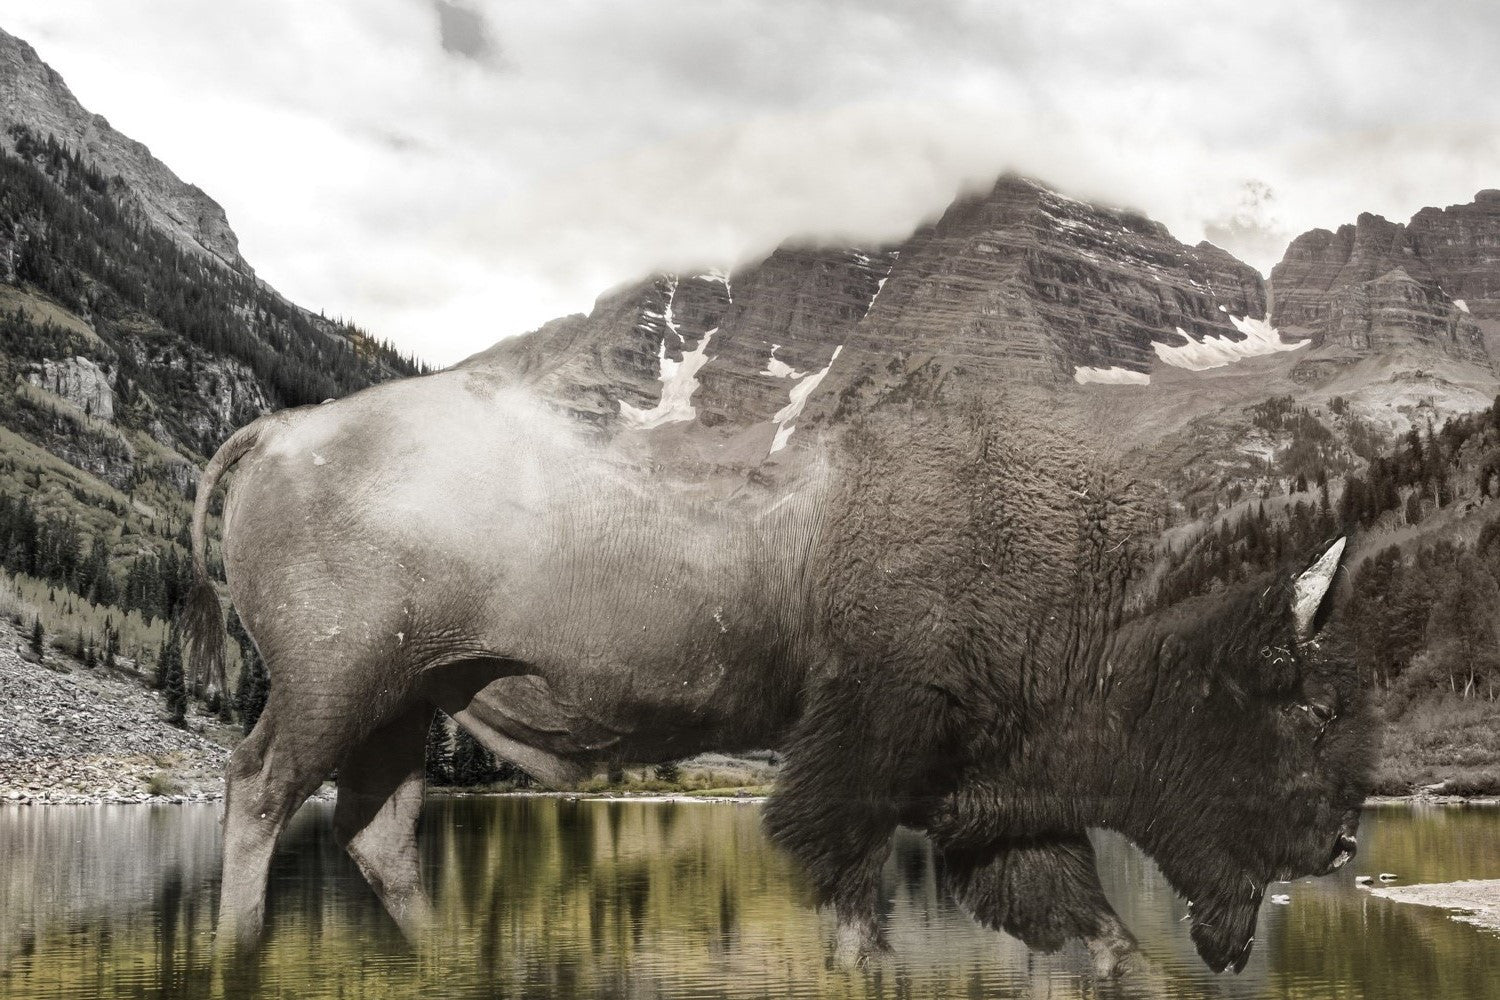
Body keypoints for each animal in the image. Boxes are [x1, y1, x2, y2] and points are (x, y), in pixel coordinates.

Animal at [185, 369, 1375, 975]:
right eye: (1294, 698)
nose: (1343, 840)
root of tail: (281, 431)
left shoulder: (991, 810)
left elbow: (1094, 930)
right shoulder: (862, 773)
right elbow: (861, 916)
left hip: (403, 705)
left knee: (377, 834)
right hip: (334, 688)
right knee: (260, 789)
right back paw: (235, 955)